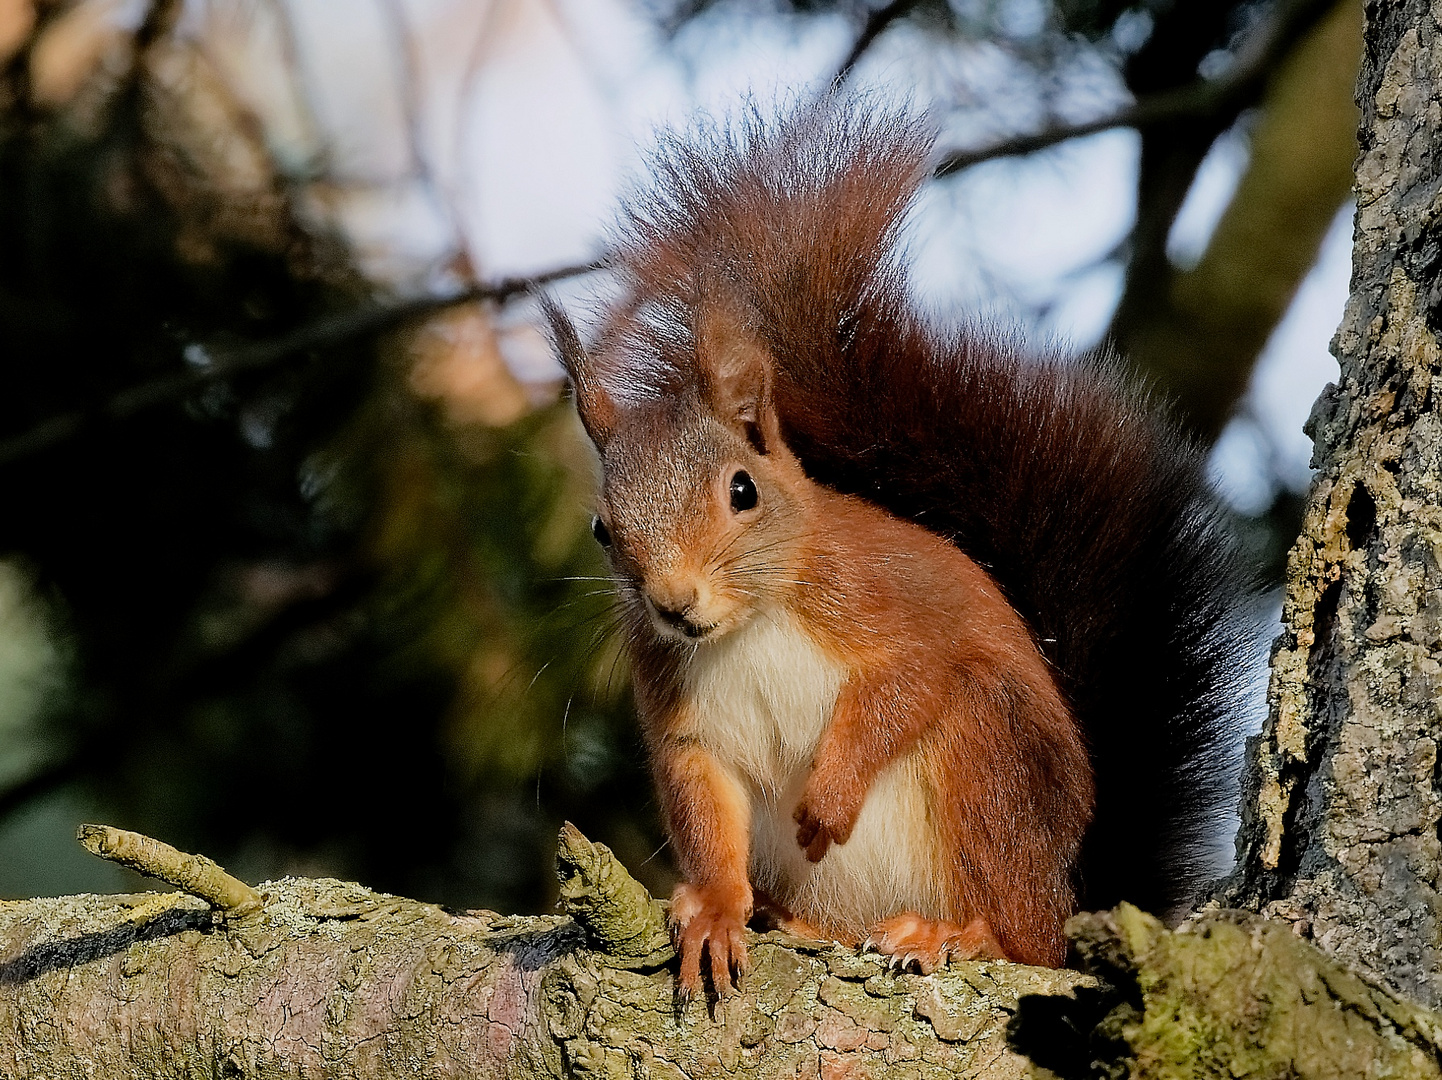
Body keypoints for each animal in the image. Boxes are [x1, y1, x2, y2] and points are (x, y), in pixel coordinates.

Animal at [542, 100, 1251, 992]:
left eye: (741, 490)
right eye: (603, 528)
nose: (673, 602)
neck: (752, 623)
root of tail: (1071, 894)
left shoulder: (891, 606)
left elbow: (909, 680)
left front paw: (830, 796)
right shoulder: (687, 717)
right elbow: (704, 810)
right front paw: (714, 910)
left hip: (989, 759)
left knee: (1026, 938)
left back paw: (958, 935)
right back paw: (789, 917)